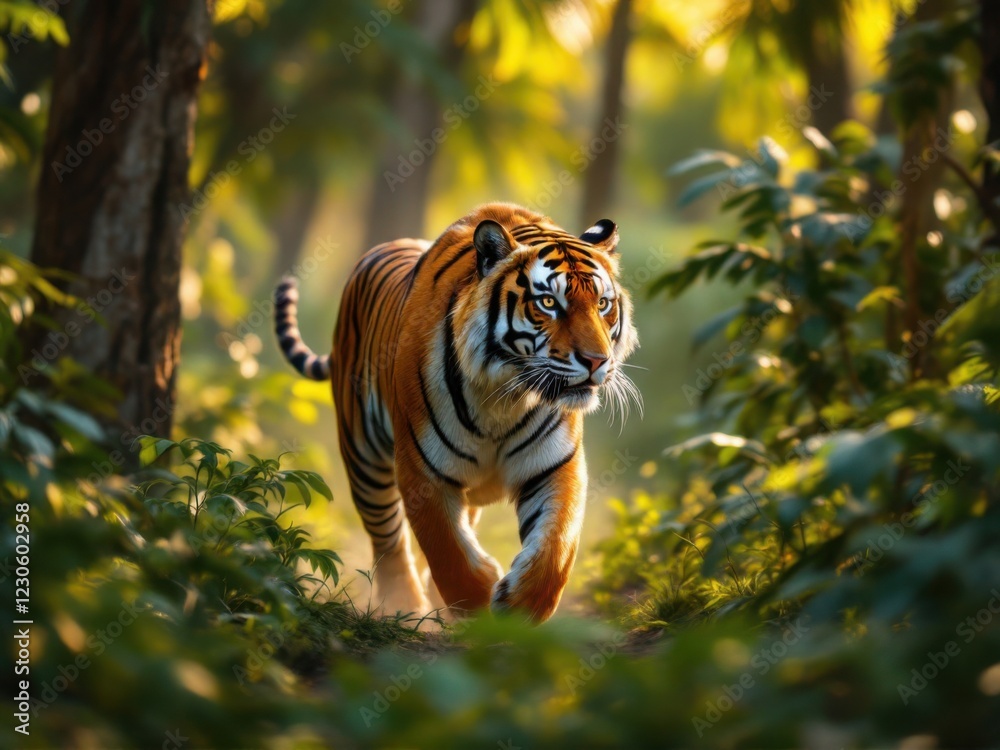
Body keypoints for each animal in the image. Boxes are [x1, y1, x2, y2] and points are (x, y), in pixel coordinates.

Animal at [274, 202, 639, 622]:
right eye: (548, 303)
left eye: (602, 304)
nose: (597, 361)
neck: (505, 396)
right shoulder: (422, 469)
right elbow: (447, 551)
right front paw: (478, 609)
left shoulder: (554, 465)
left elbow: (556, 547)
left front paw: (519, 610)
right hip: (362, 455)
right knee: (386, 536)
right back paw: (402, 602)